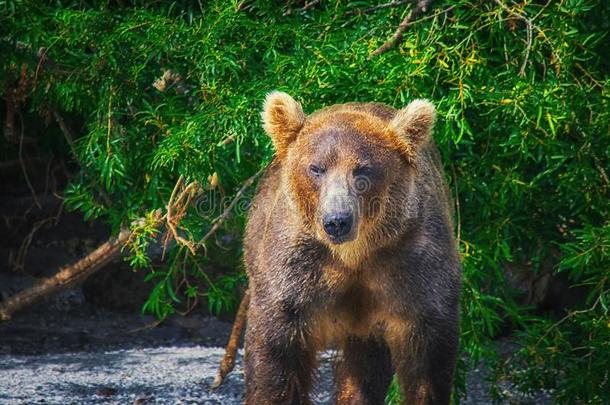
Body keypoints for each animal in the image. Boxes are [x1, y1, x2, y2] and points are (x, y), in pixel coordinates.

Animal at [242, 91, 460, 404]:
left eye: (363, 169)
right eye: (316, 168)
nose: (337, 221)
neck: (354, 255)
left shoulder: (412, 262)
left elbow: (428, 360)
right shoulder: (295, 268)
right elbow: (274, 354)